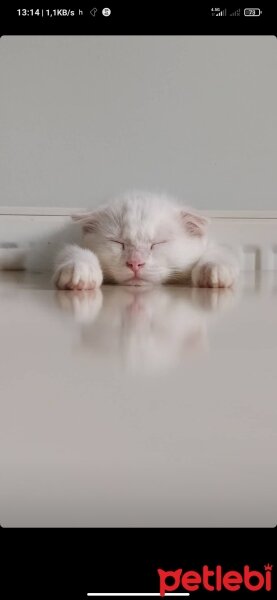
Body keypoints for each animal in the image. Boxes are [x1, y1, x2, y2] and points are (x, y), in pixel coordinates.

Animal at [0, 190, 238, 288]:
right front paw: (81, 274)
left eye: (157, 244)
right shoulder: (68, 244)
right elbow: (76, 253)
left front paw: (213, 273)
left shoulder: (220, 247)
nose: (135, 263)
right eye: (118, 243)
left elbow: (218, 255)